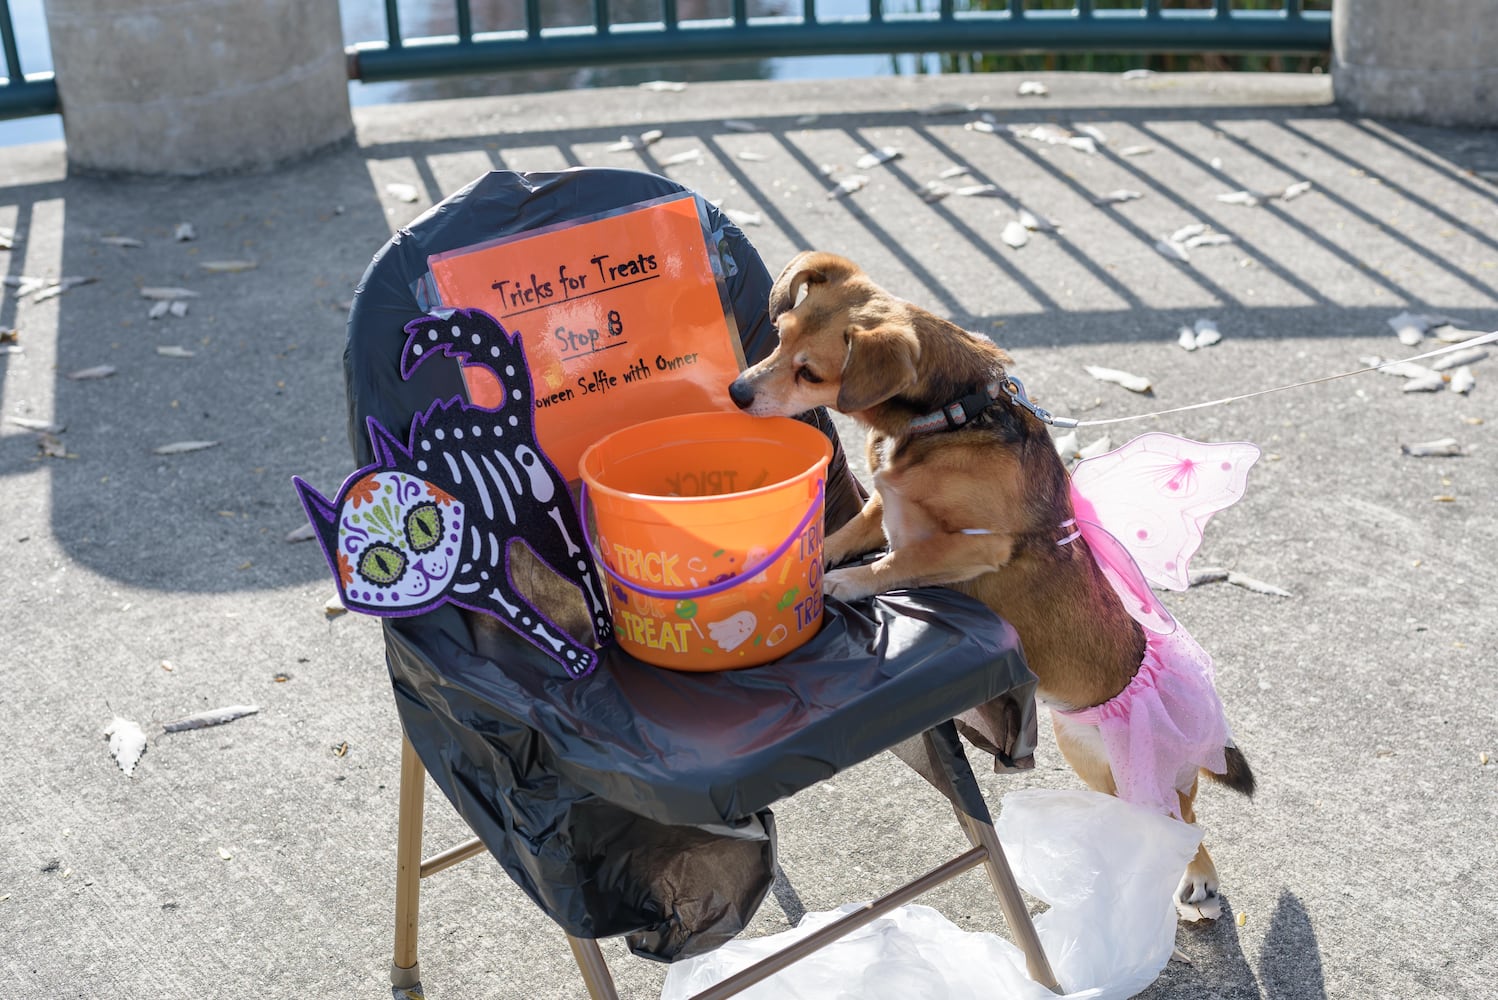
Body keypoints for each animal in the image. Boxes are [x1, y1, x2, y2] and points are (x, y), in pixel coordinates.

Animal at [725, 251, 1252, 922]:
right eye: (780, 334)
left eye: (810, 371)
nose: (737, 392)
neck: (950, 415)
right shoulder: (880, 506)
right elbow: (847, 534)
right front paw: (811, 567)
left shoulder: (974, 545)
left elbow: (892, 563)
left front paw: (844, 583)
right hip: (1089, 757)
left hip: (1134, 773)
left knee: (1182, 823)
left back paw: (1197, 878)